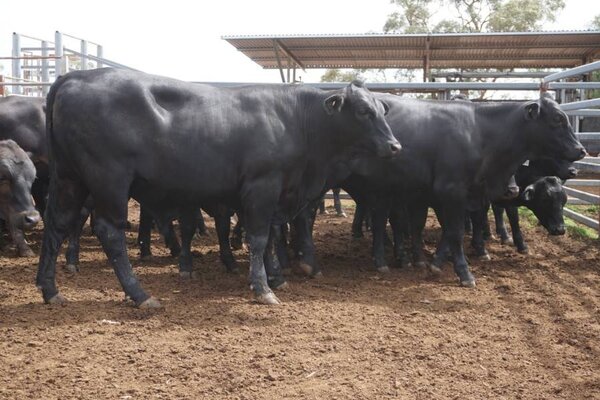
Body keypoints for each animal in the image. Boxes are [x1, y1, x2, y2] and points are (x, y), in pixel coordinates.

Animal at [34, 69, 398, 308]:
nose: (395, 146)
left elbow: (270, 236)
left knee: (56, 226)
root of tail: (75, 76)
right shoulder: (262, 187)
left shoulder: (275, 194)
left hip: (70, 178)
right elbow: (259, 238)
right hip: (109, 181)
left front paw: (275, 276)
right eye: (363, 111)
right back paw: (140, 295)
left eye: (381, 109)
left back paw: (50, 290)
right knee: (109, 232)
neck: (294, 120)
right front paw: (263, 288)